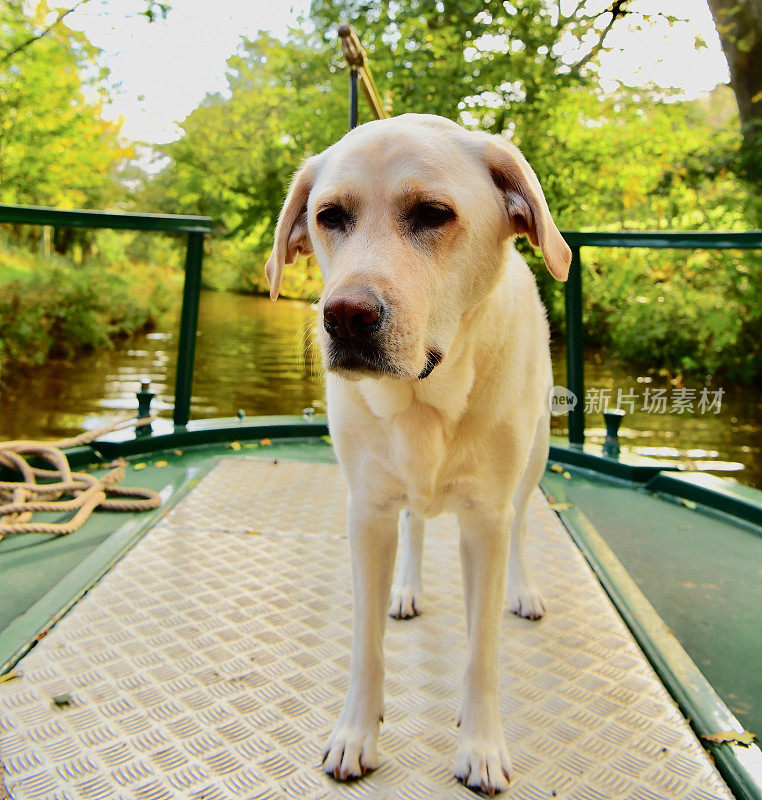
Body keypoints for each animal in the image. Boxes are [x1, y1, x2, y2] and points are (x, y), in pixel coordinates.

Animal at [264, 112, 568, 792]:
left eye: (433, 213)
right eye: (330, 216)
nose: (345, 316)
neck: (425, 397)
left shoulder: (486, 522)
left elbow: (482, 652)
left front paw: (481, 744)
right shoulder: (367, 511)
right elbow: (366, 644)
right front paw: (356, 733)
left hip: (532, 461)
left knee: (523, 524)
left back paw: (524, 590)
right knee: (417, 523)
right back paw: (405, 588)